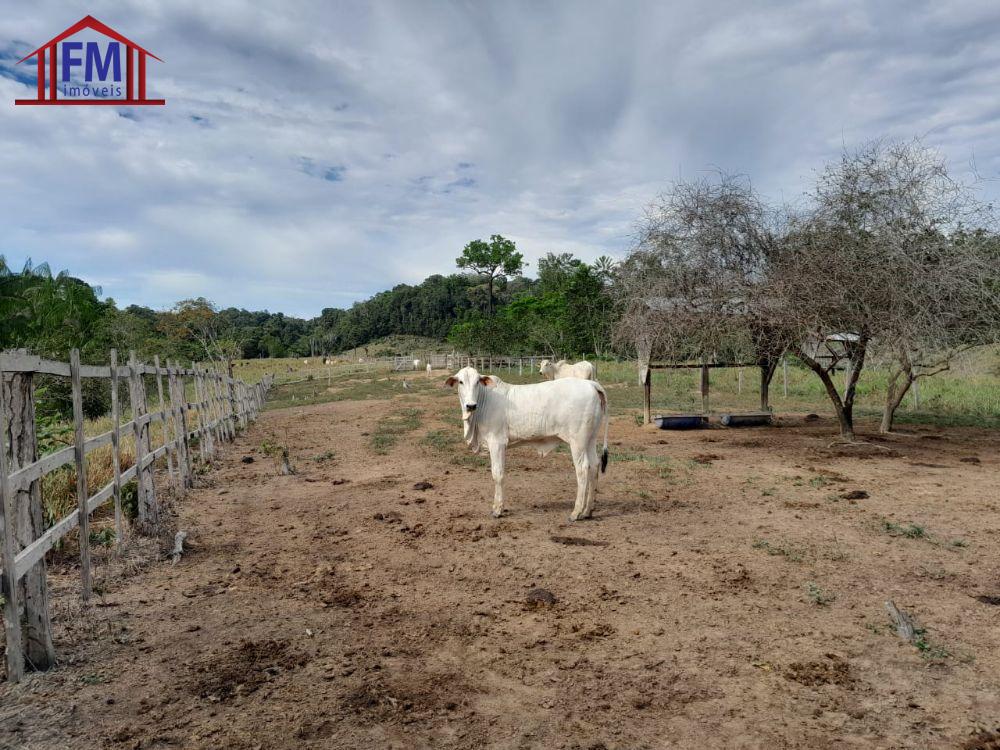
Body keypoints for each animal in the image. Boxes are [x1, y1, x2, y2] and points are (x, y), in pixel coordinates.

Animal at [448, 368, 608, 524]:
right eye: (461, 382)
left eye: (477, 382)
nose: (471, 405)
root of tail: (591, 384)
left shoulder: (497, 443)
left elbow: (497, 475)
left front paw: (497, 509)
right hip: (590, 439)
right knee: (595, 465)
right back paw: (587, 511)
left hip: (577, 441)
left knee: (583, 469)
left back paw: (576, 512)